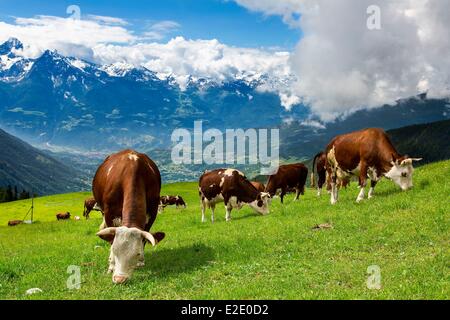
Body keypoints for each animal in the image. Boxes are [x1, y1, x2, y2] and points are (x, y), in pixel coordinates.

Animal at [93, 149, 165, 284]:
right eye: (115, 251)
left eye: (137, 254)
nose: (119, 279)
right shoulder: (109, 213)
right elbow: (111, 240)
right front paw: (111, 265)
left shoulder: (152, 212)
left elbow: (145, 237)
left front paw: (141, 262)